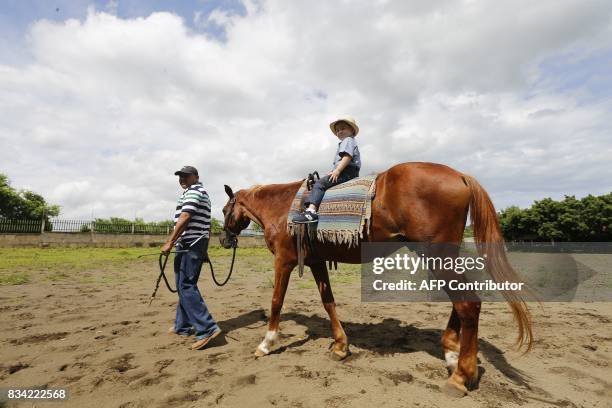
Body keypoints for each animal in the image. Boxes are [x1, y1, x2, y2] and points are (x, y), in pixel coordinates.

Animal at [220, 162, 532, 396]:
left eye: (224, 211)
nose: (223, 239)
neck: (283, 205)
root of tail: (459, 175)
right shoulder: (317, 263)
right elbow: (328, 301)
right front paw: (340, 346)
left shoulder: (284, 261)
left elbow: (276, 301)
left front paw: (266, 343)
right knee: (462, 301)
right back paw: (452, 355)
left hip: (436, 254)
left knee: (468, 303)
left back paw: (460, 376)